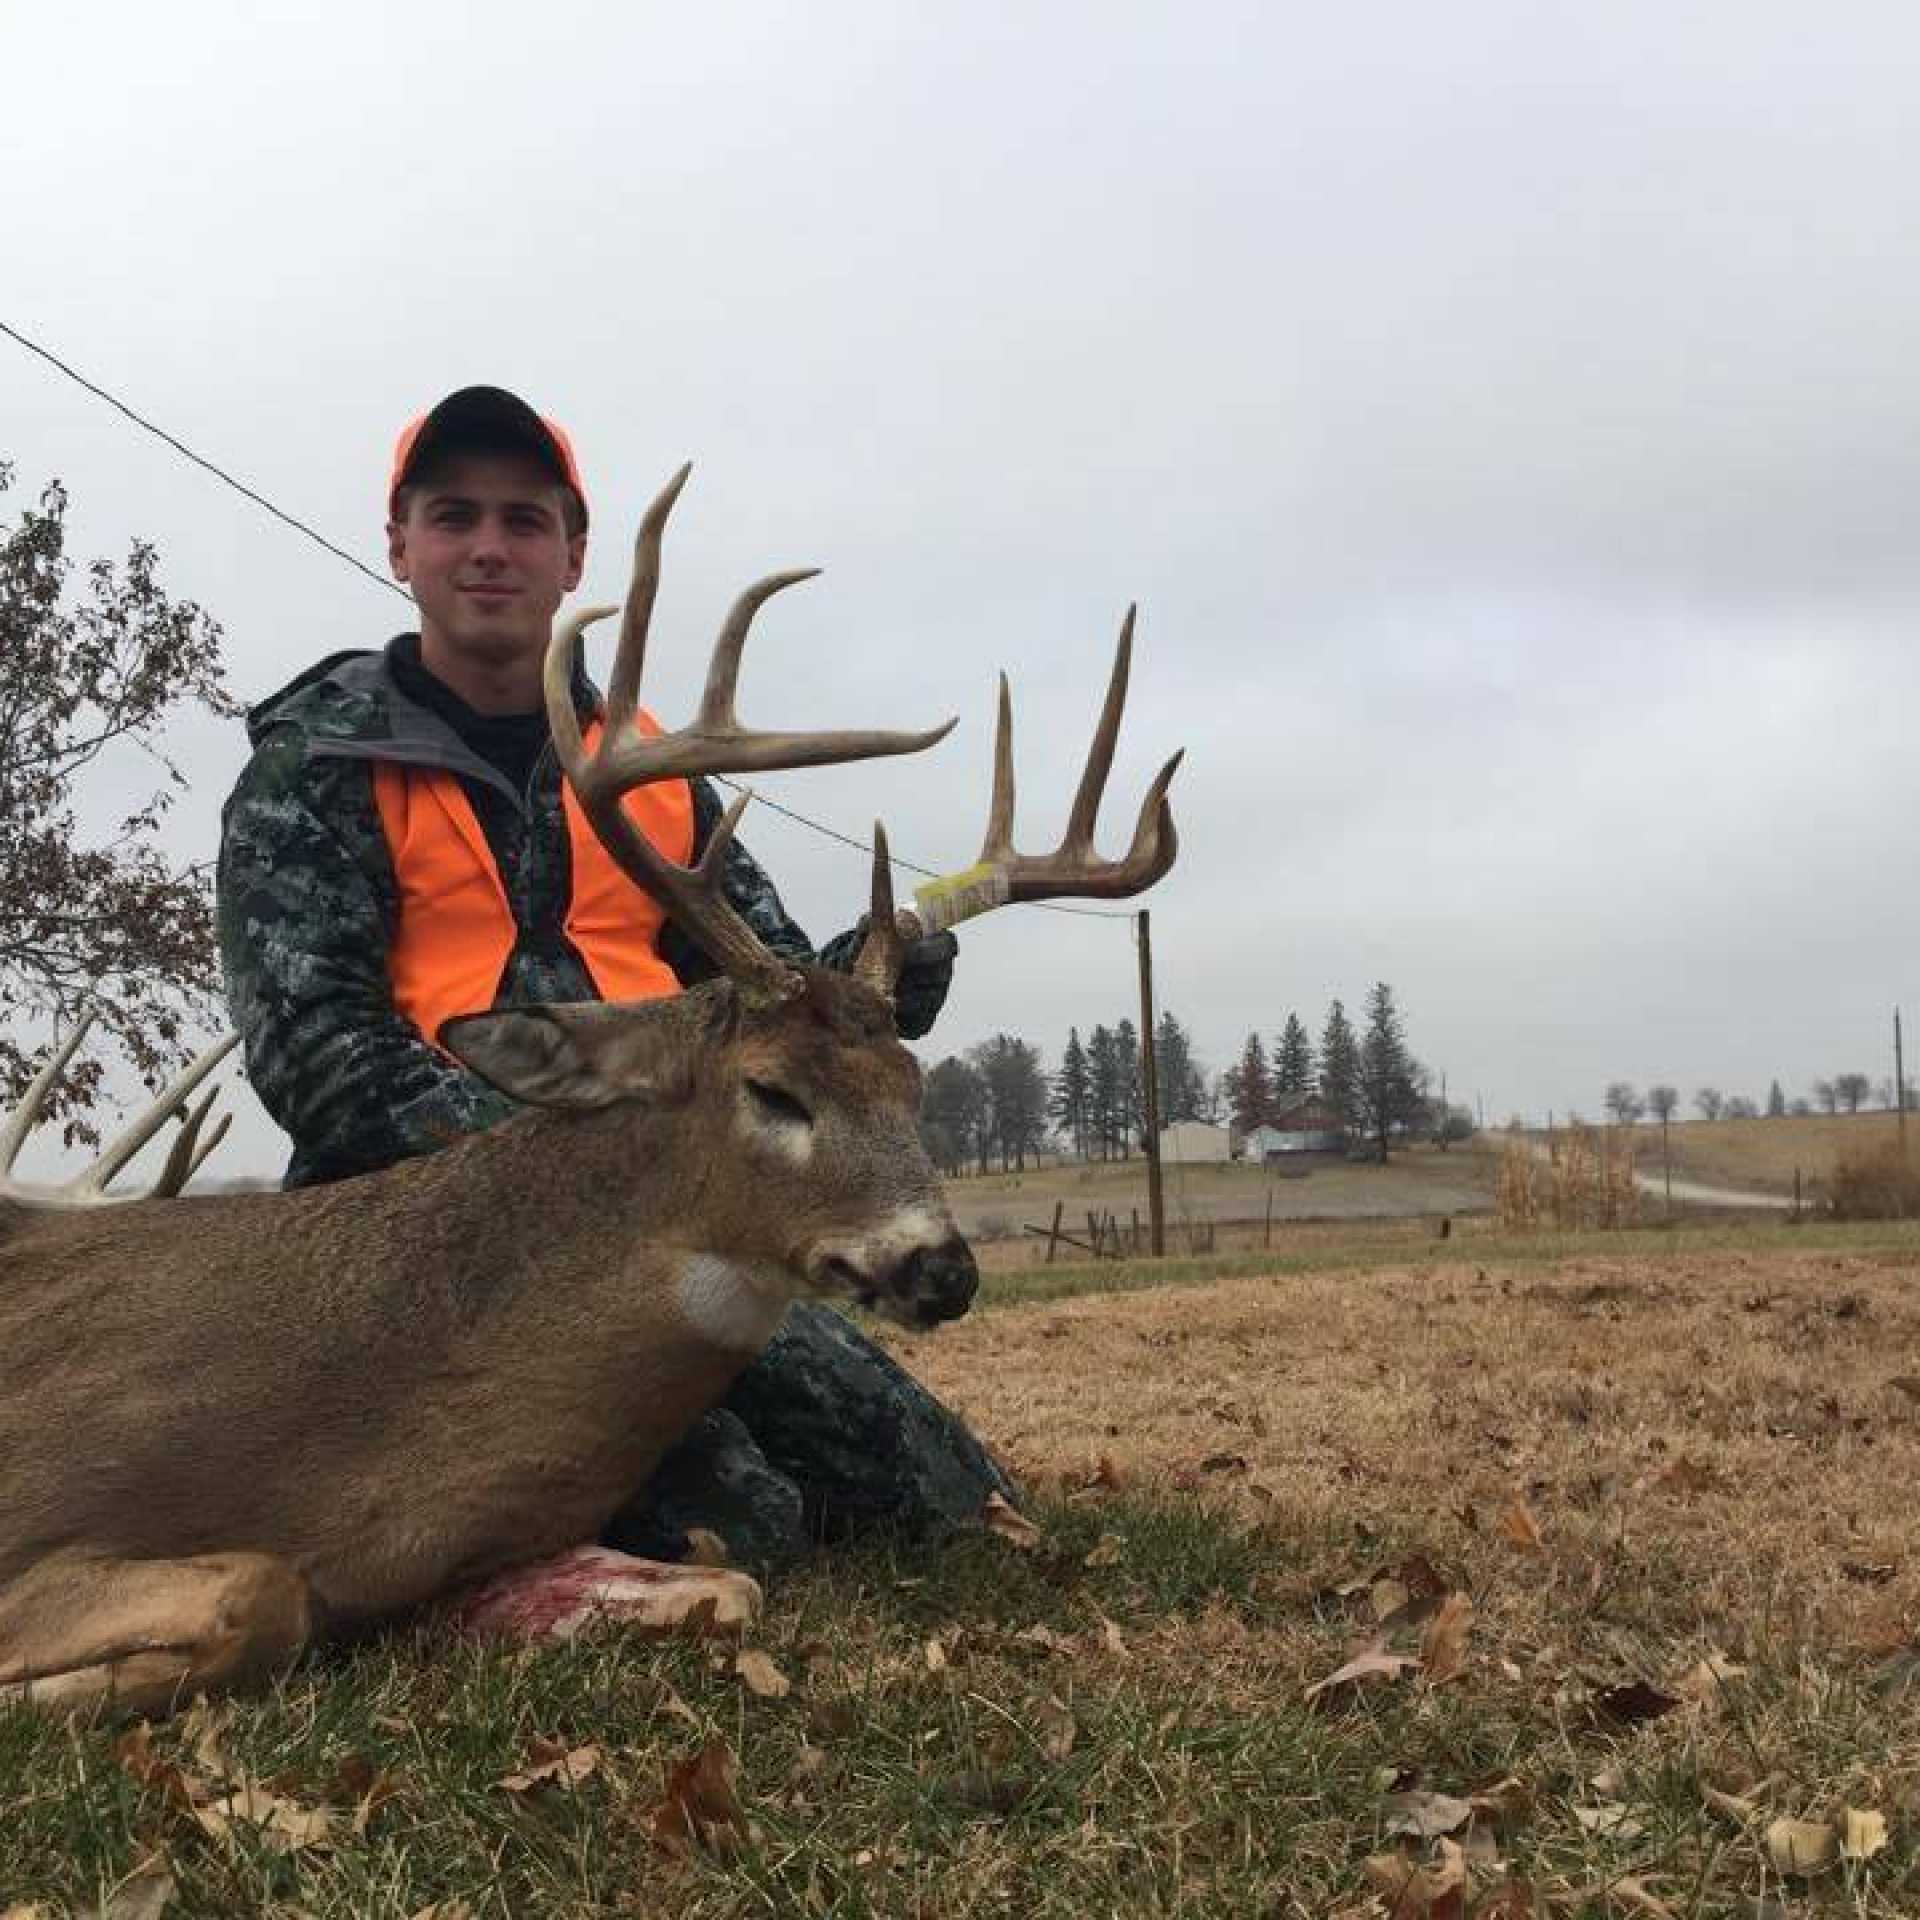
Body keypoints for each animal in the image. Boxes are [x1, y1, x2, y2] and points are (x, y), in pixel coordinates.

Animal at [0, 467, 1181, 1719]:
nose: (942, 1267)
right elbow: (260, 1594)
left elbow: (727, 1582)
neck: (351, 1451)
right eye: (773, 1089)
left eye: (912, 1085)